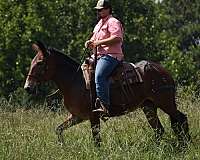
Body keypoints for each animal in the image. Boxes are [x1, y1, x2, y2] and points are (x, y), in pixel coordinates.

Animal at [23, 41, 191, 146]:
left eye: (40, 63)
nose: (27, 87)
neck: (74, 81)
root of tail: (164, 71)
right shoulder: (77, 116)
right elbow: (58, 129)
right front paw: (62, 146)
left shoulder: (93, 116)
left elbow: (96, 139)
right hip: (148, 106)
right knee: (159, 129)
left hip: (165, 102)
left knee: (180, 119)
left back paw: (186, 145)